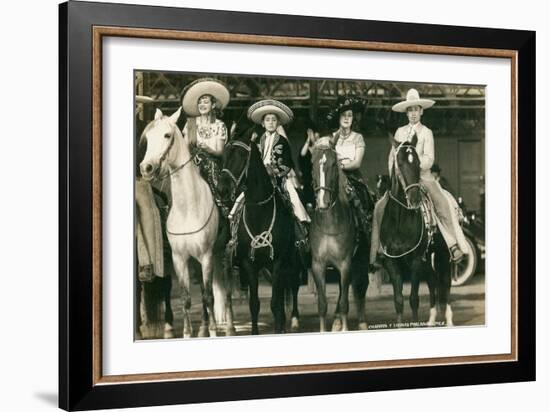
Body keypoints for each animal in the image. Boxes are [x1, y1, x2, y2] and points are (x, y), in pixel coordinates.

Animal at [140, 107, 235, 338]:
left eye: (167, 135)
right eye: (148, 137)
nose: (146, 168)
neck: (188, 210)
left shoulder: (207, 256)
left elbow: (208, 297)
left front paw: (213, 331)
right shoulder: (179, 259)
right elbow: (186, 298)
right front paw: (187, 333)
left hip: (223, 254)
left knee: (226, 291)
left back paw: (229, 327)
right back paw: (203, 328)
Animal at [218, 126, 302, 334]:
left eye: (241, 156)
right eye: (223, 156)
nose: (222, 190)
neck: (259, 210)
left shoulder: (278, 262)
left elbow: (275, 303)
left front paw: (280, 327)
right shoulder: (250, 264)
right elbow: (255, 304)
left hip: (293, 261)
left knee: (294, 286)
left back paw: (294, 320)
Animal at [382, 137, 454, 326]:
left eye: (418, 163)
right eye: (399, 162)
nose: (414, 198)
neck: (399, 221)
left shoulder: (415, 261)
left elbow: (413, 299)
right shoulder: (392, 262)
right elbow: (398, 300)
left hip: (443, 255)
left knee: (445, 282)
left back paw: (449, 319)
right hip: (428, 259)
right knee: (433, 282)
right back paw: (431, 319)